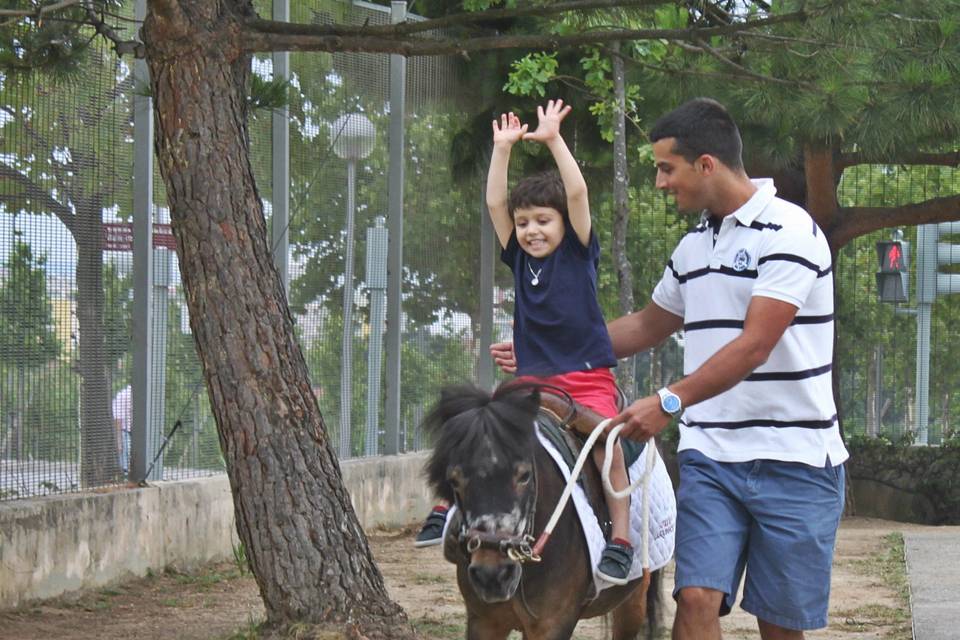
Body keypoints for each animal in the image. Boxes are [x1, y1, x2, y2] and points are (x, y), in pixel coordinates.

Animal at [428, 384, 660, 640]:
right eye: (454, 480)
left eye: (524, 475)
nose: (492, 576)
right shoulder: (484, 622)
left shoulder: (553, 625)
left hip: (633, 601)